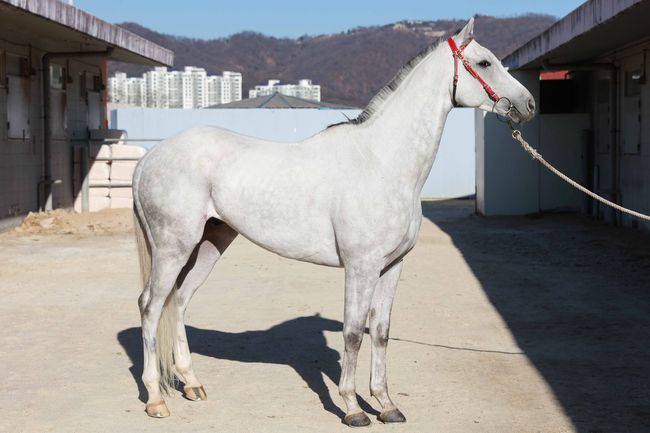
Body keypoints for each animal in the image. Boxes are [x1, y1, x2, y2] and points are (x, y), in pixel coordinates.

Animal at [132, 17, 532, 426]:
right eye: (484, 63)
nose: (528, 105)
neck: (381, 160)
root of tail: (150, 158)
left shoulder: (393, 267)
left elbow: (381, 332)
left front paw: (386, 404)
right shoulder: (361, 267)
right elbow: (353, 333)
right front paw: (353, 408)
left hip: (212, 241)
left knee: (180, 300)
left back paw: (192, 383)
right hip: (173, 247)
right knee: (151, 305)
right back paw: (155, 399)